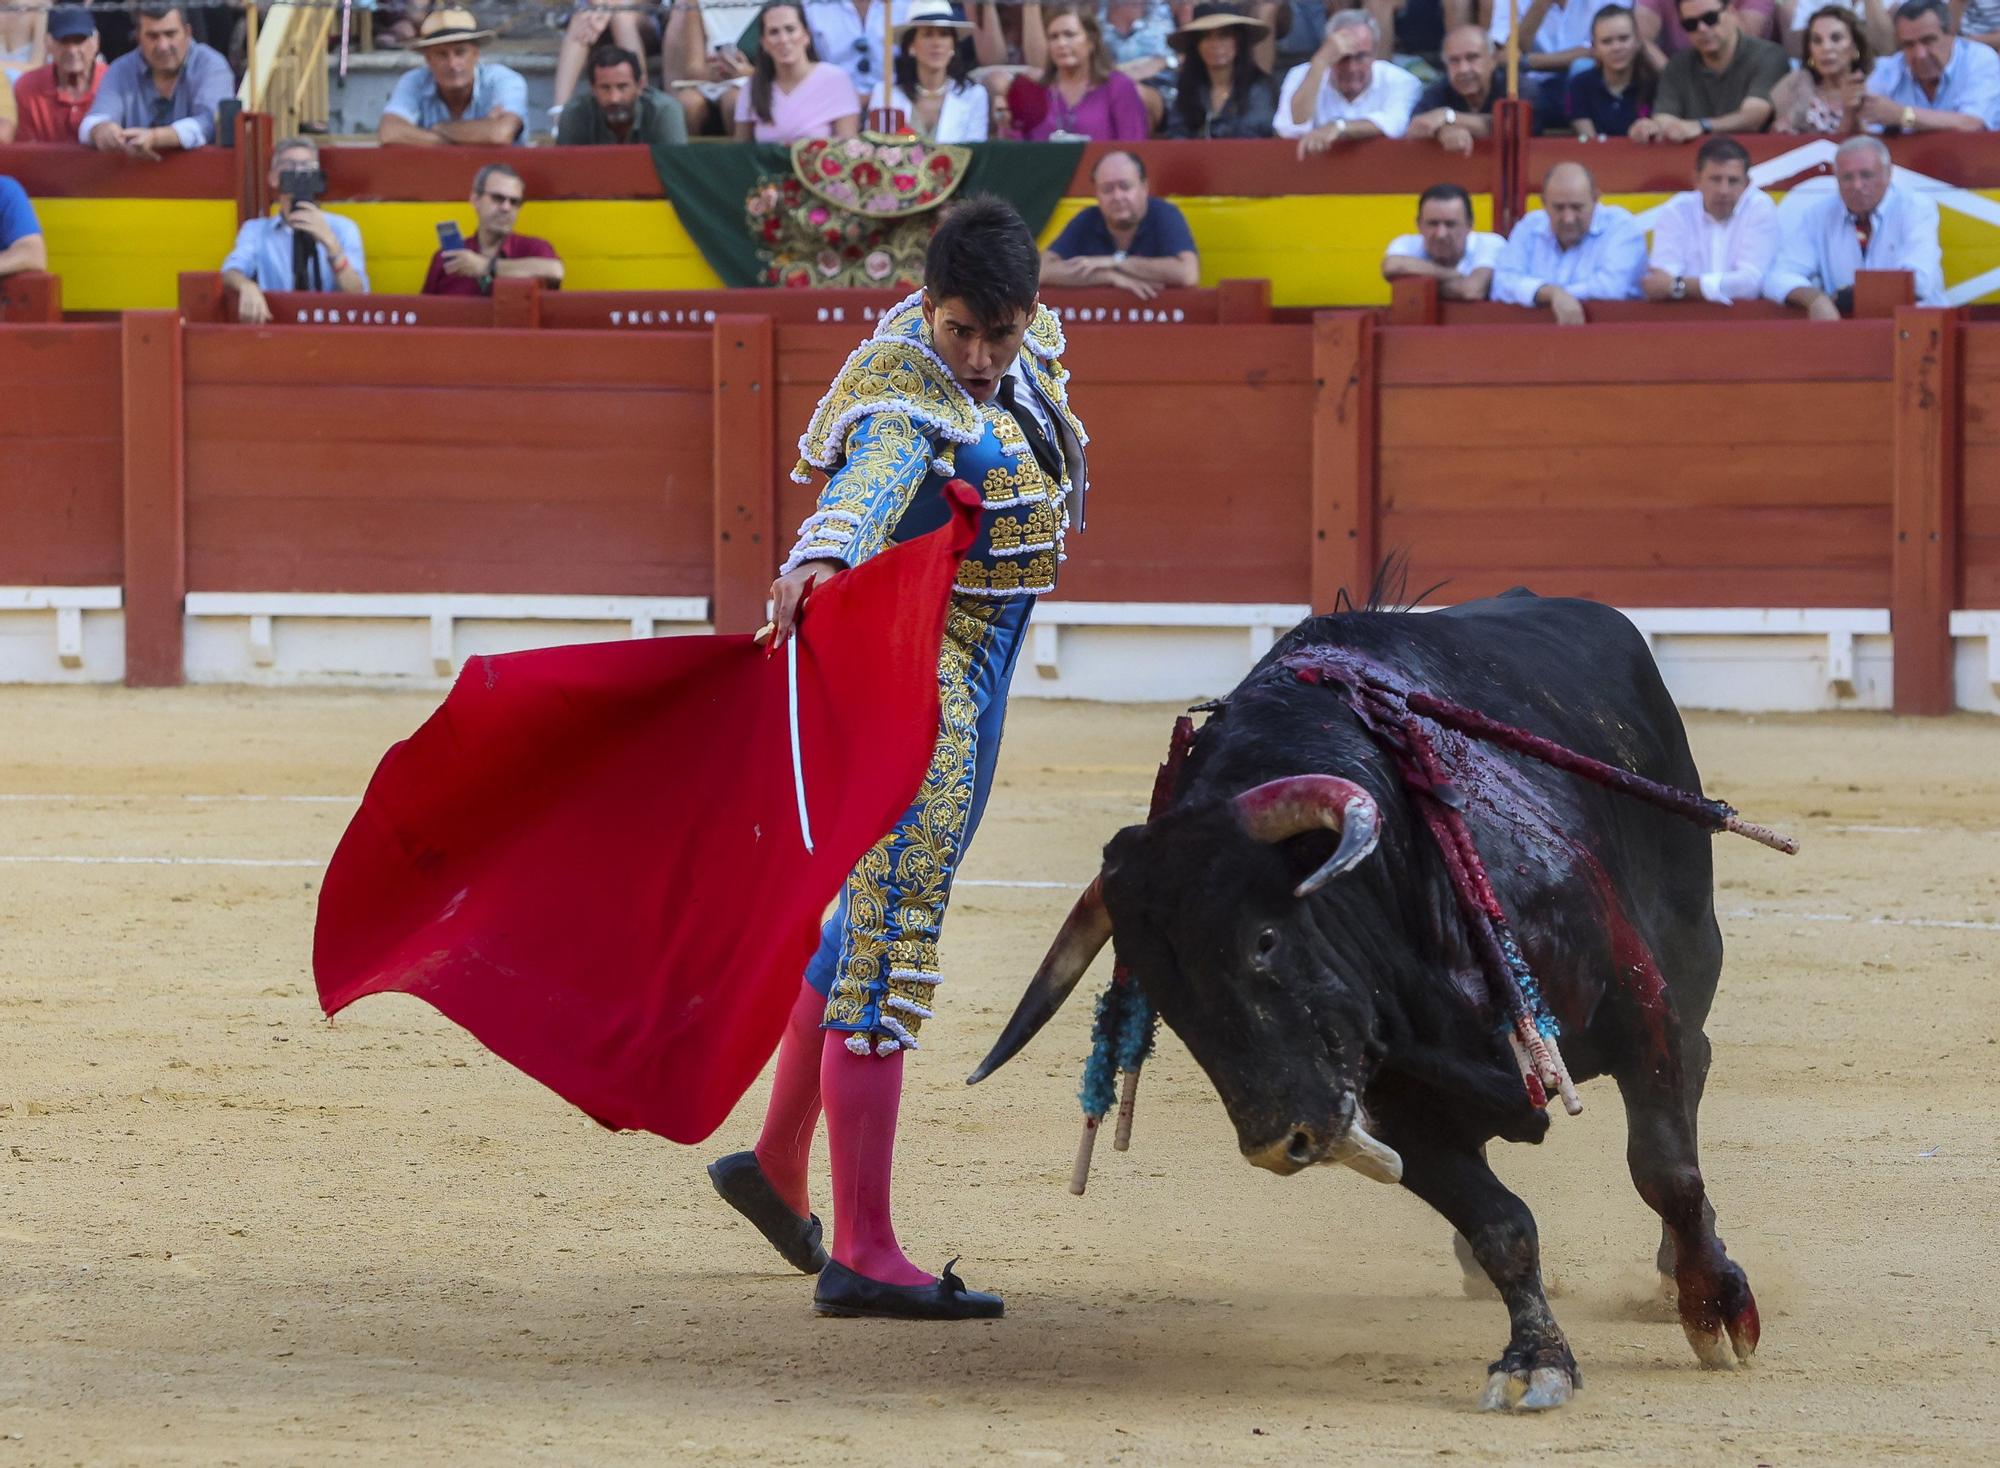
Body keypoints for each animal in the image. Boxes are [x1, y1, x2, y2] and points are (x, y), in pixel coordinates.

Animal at [968, 592, 1768, 1424]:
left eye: (1263, 940)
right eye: (1163, 994)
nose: (1278, 1142)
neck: (1405, 883)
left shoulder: (1639, 1012)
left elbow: (1666, 1171)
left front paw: (1714, 1307)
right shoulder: (1396, 1103)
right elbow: (1500, 1225)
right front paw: (1536, 1359)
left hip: (1689, 951)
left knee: (1695, 1070)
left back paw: (1676, 1270)